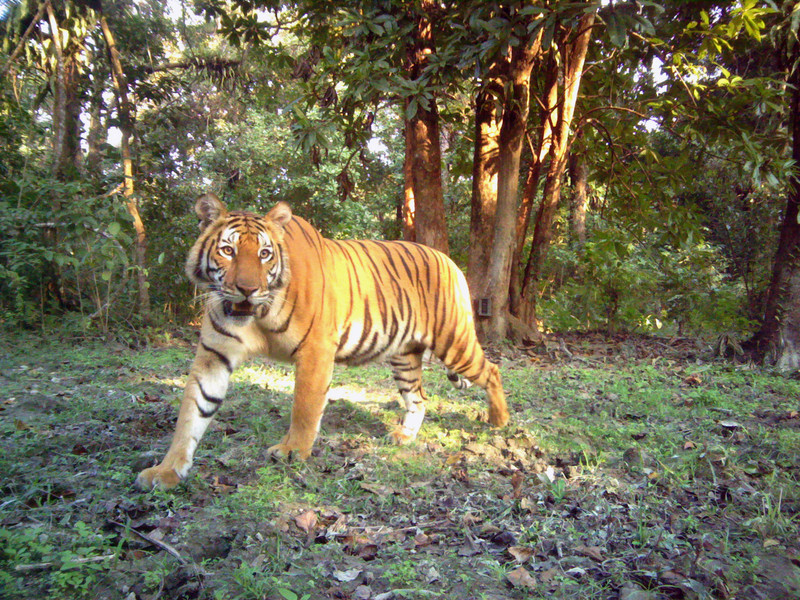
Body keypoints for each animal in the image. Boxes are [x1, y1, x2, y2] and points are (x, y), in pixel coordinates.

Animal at [134, 195, 510, 490]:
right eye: (227, 250)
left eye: (265, 254)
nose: (247, 289)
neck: (256, 314)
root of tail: (450, 262)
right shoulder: (213, 357)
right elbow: (191, 415)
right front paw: (165, 471)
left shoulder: (315, 349)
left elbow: (304, 406)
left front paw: (291, 452)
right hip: (404, 355)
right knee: (418, 397)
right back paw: (404, 436)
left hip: (453, 342)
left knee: (492, 370)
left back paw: (499, 420)